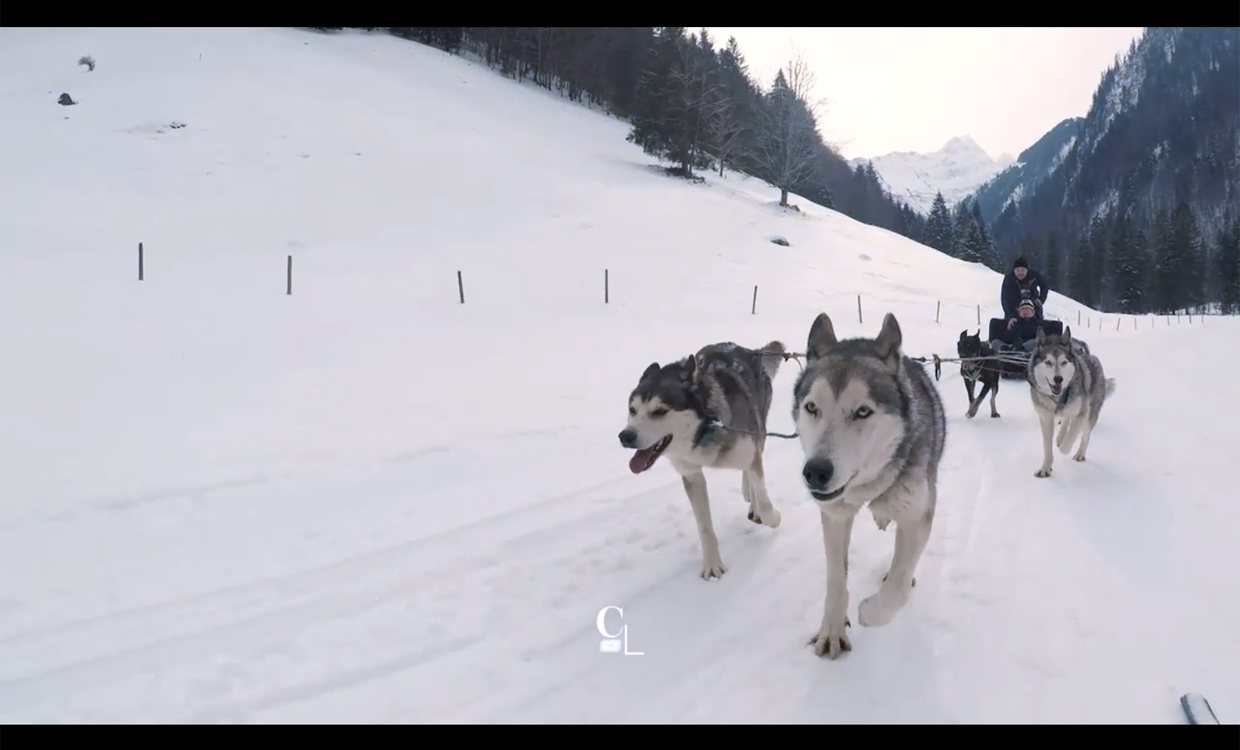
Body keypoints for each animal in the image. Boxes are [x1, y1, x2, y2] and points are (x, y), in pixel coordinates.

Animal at [617, 339, 783, 580]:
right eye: (632, 409)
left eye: (660, 411)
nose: (625, 436)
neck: (706, 428)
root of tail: (749, 350)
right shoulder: (692, 475)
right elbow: (705, 527)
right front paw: (712, 564)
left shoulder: (749, 449)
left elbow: (763, 498)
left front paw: (772, 516)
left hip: (758, 429)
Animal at [788, 312, 942, 659]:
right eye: (812, 407)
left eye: (862, 412)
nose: (815, 472)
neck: (871, 486)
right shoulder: (834, 516)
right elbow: (835, 579)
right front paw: (832, 630)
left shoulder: (917, 516)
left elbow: (898, 586)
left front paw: (871, 612)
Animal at [1026, 324, 1116, 476]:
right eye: (1048, 362)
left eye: (1064, 362)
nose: (1058, 379)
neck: (1058, 396)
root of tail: (1092, 357)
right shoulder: (1046, 417)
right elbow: (1047, 447)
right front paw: (1045, 468)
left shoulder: (1082, 413)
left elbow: (1071, 437)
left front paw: (1064, 448)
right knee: (1066, 419)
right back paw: (1061, 435)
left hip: (1090, 415)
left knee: (1085, 435)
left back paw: (1079, 453)